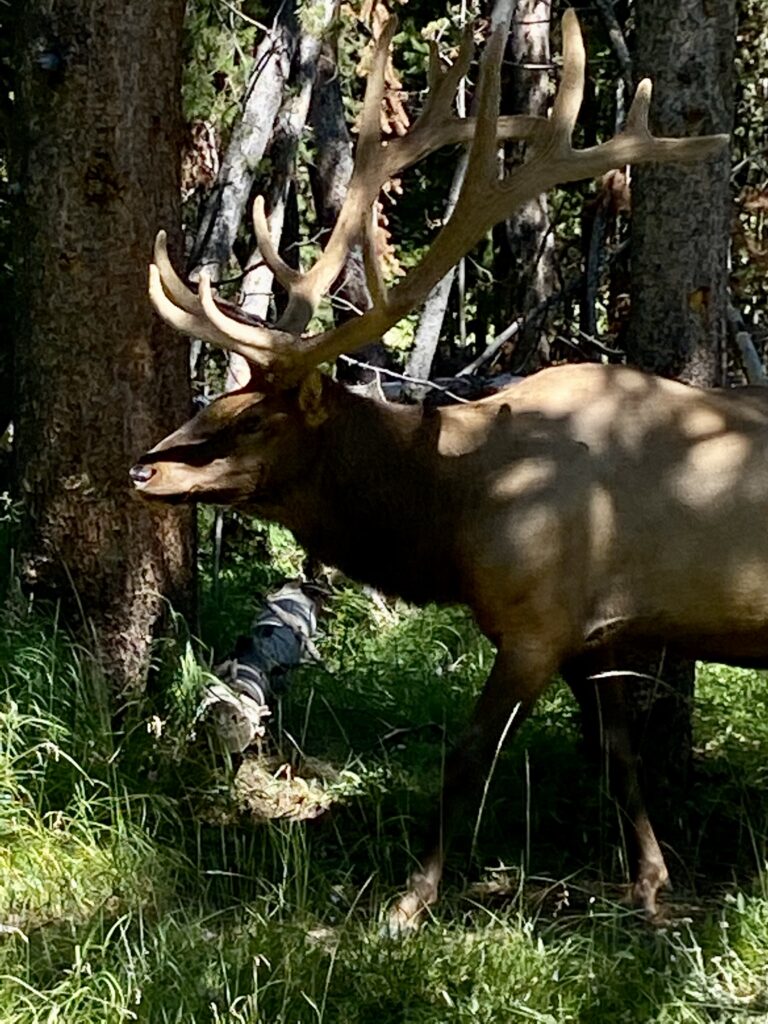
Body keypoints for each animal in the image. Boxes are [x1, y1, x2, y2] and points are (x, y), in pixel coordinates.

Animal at [130, 8, 744, 930]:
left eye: (253, 419)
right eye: (217, 402)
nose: (144, 471)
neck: (455, 511)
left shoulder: (535, 623)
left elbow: (466, 761)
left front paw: (410, 900)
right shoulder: (591, 630)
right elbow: (619, 759)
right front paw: (651, 885)